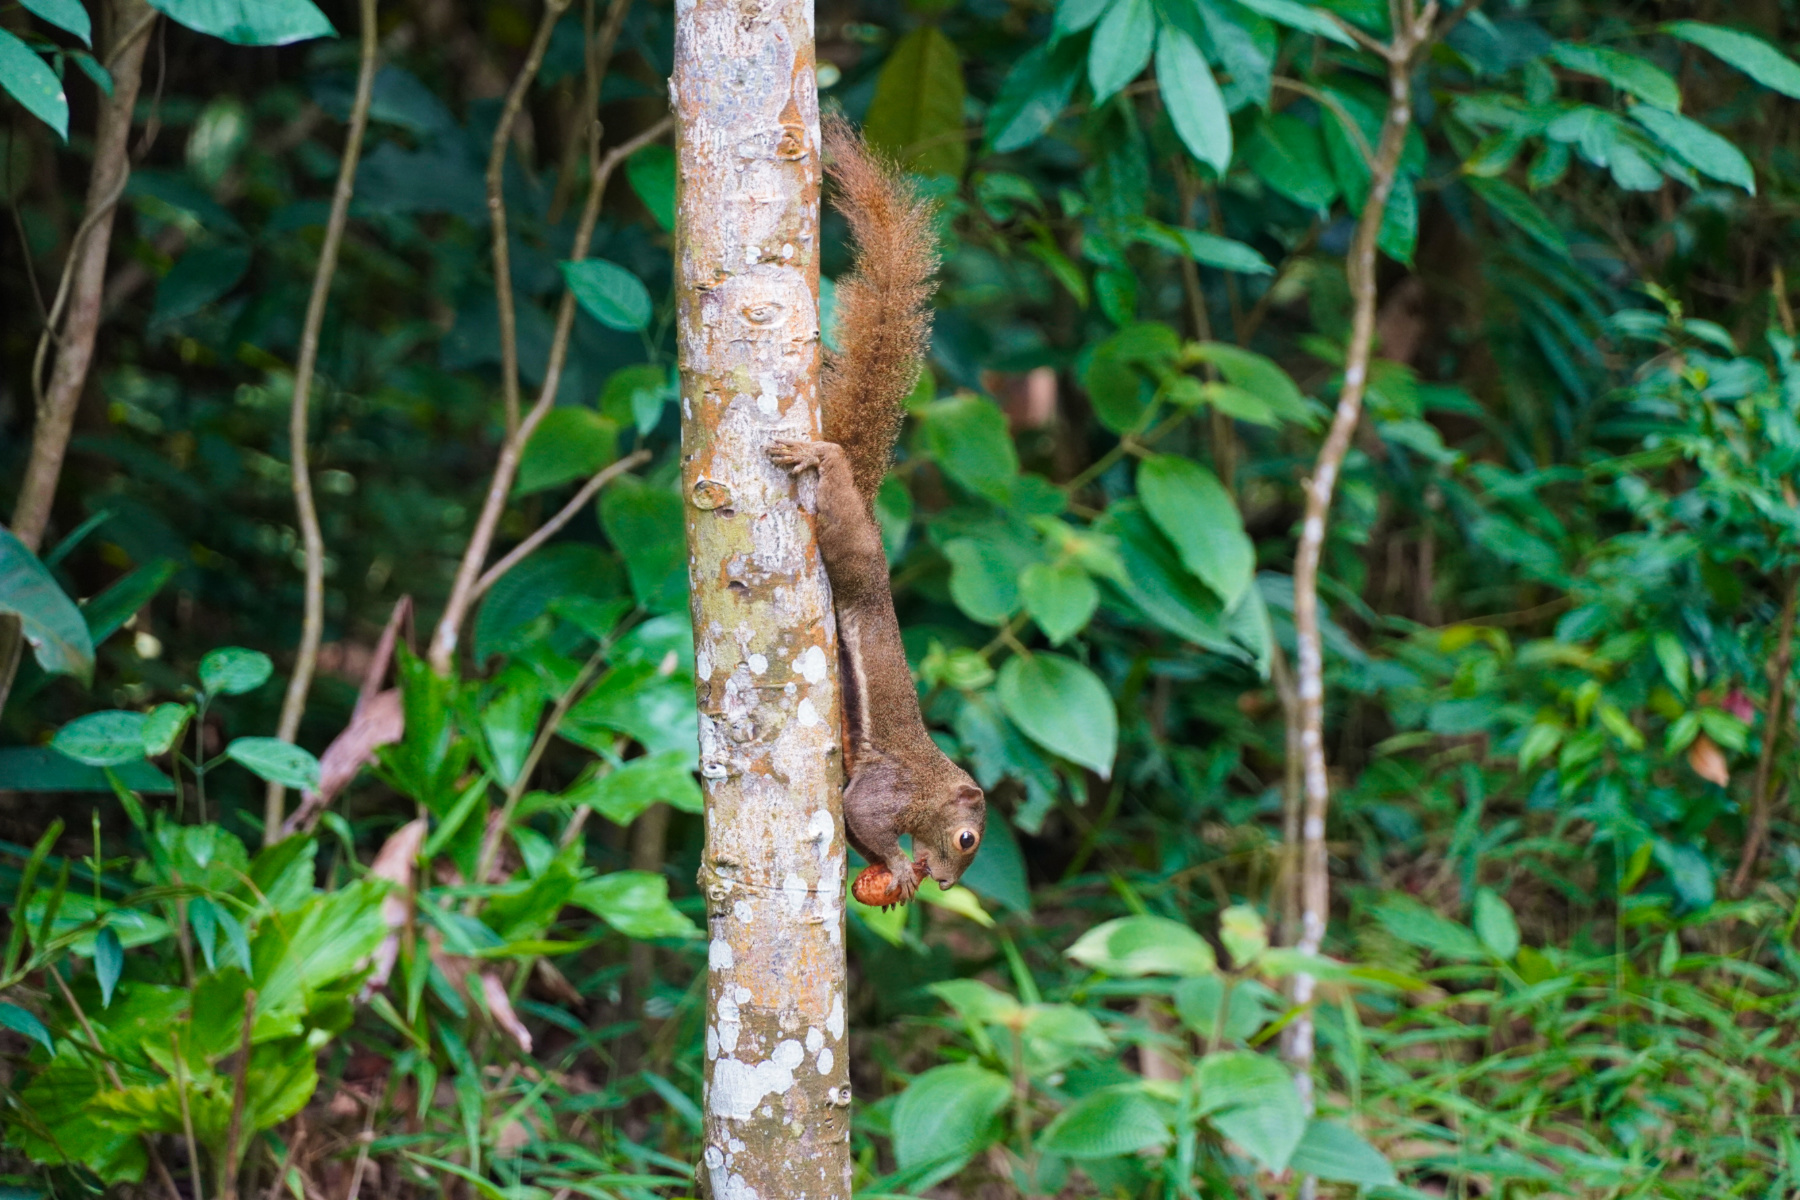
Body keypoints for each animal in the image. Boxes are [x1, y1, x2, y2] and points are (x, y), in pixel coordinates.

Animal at [768, 116, 985, 908]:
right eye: (967, 841)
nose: (948, 883)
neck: (930, 786)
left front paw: (899, 877)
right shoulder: (888, 788)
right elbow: (862, 813)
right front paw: (899, 864)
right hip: (855, 551)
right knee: (841, 519)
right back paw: (817, 454)